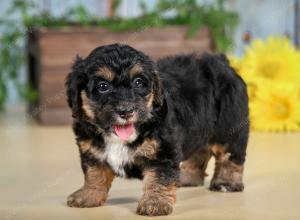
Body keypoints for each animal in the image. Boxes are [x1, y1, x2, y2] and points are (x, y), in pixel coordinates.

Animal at [67, 43, 250, 216]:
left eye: (138, 83)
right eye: (102, 86)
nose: (126, 111)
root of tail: (224, 64)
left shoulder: (162, 151)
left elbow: (158, 178)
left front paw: (155, 203)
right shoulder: (91, 149)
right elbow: (94, 172)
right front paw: (89, 195)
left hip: (229, 127)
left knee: (230, 155)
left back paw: (226, 182)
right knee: (199, 152)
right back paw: (187, 177)